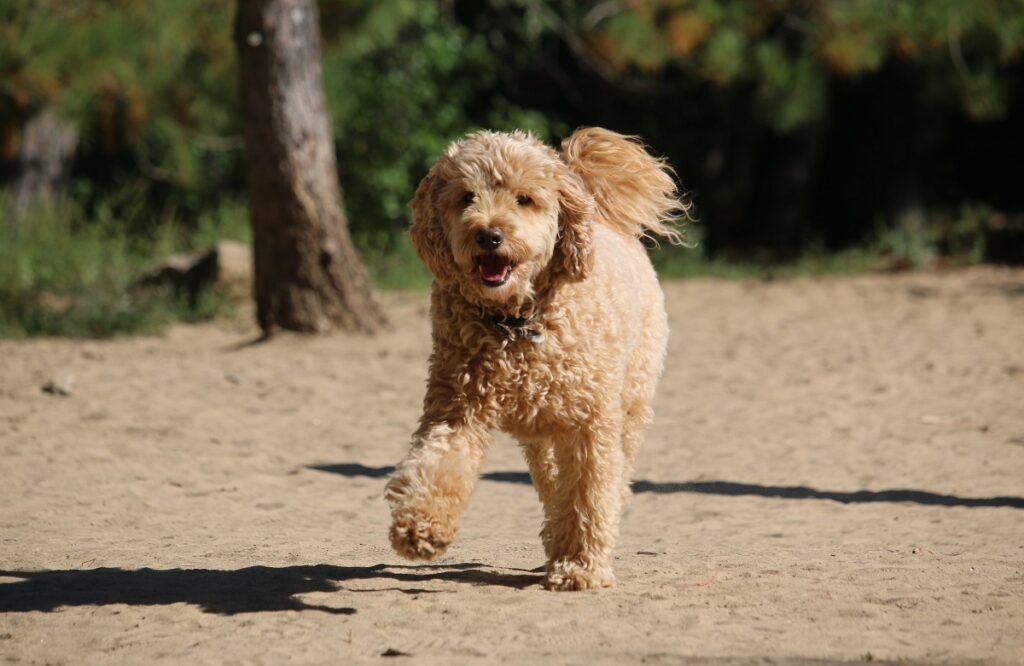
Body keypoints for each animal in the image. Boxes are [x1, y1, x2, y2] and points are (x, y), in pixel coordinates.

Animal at [385, 127, 688, 590]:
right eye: (466, 197)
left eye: (524, 199)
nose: (489, 235)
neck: (516, 323)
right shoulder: (456, 408)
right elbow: (438, 463)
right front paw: (420, 526)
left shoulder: (590, 424)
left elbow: (590, 491)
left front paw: (582, 566)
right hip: (541, 434)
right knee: (553, 485)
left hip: (630, 402)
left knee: (611, 475)